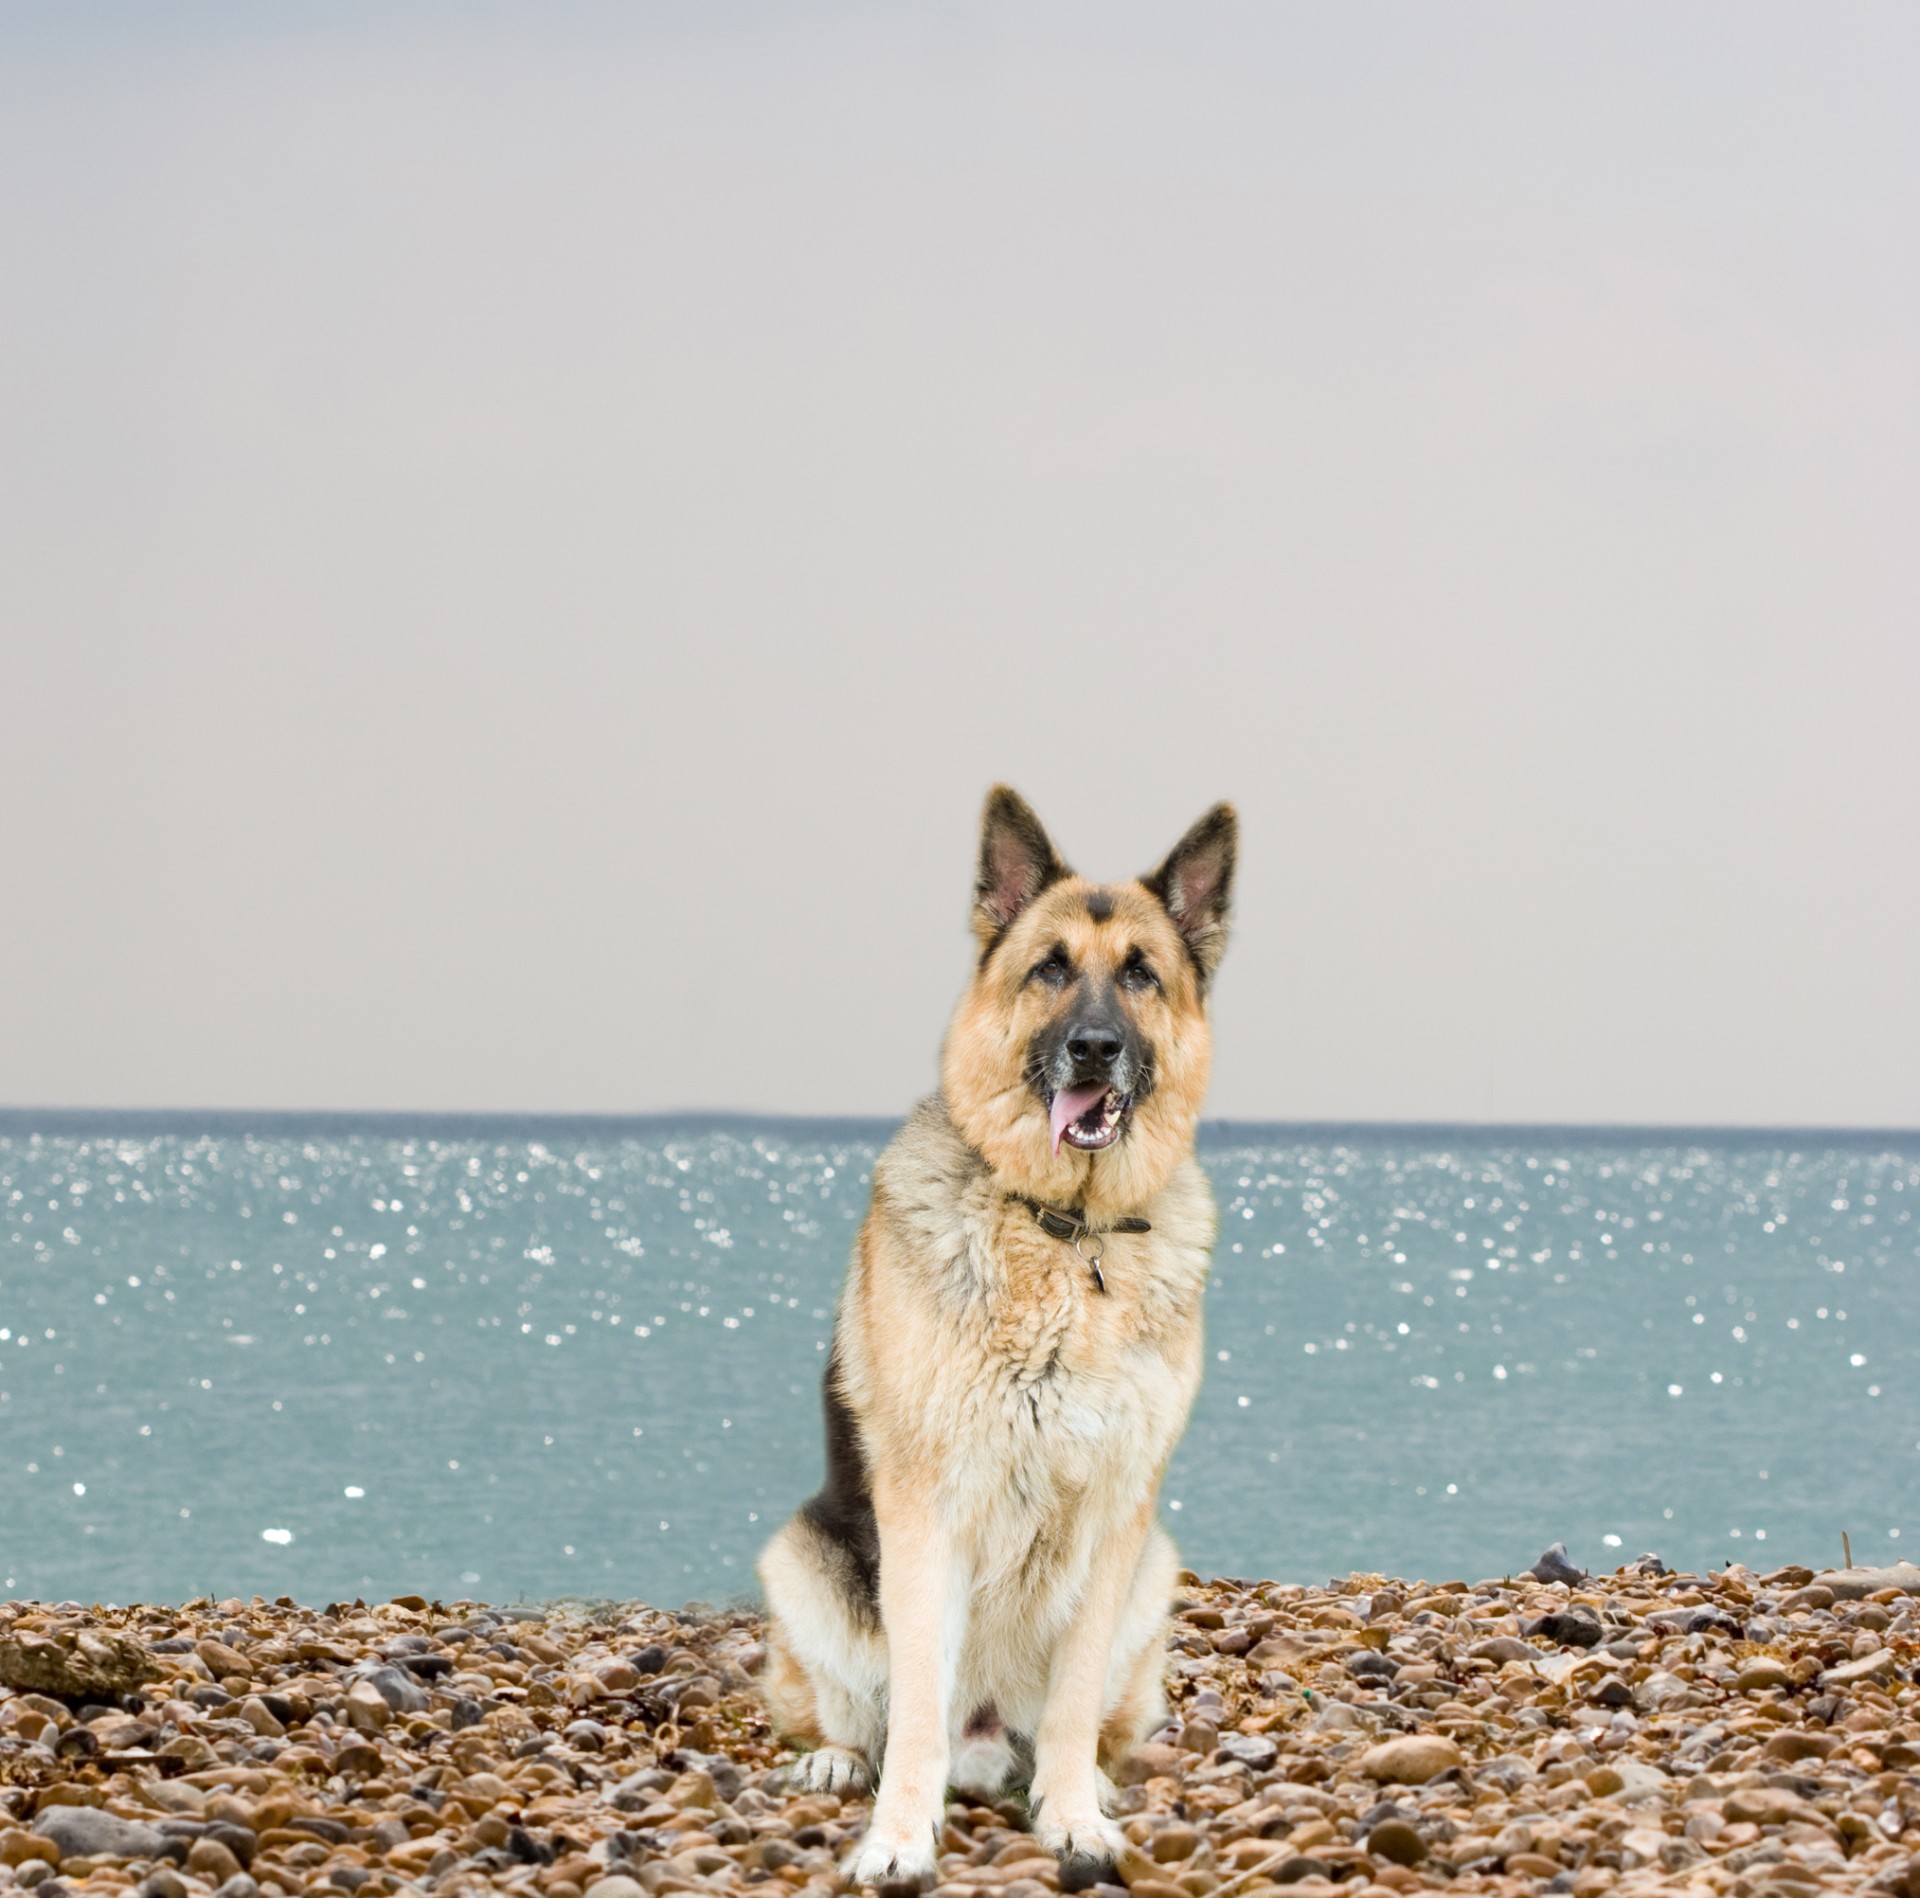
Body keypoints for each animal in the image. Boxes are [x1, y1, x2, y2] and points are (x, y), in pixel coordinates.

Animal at [748, 786, 1228, 1880]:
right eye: (1049, 966)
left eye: (1140, 973)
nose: (1092, 1047)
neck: (1069, 1236)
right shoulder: (928, 1508)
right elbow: (917, 1703)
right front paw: (896, 1836)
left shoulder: (1115, 1512)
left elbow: (1074, 1699)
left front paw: (1073, 1816)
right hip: (801, 1557)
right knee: (857, 1712)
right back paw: (839, 1761)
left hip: (1155, 1567)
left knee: (1089, 1721)